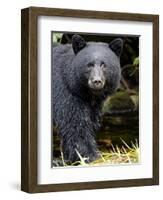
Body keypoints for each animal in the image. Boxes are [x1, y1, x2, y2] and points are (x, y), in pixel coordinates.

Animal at [52, 34, 123, 162]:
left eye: (104, 64)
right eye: (89, 64)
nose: (97, 81)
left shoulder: (93, 106)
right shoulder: (66, 93)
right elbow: (75, 126)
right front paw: (92, 156)